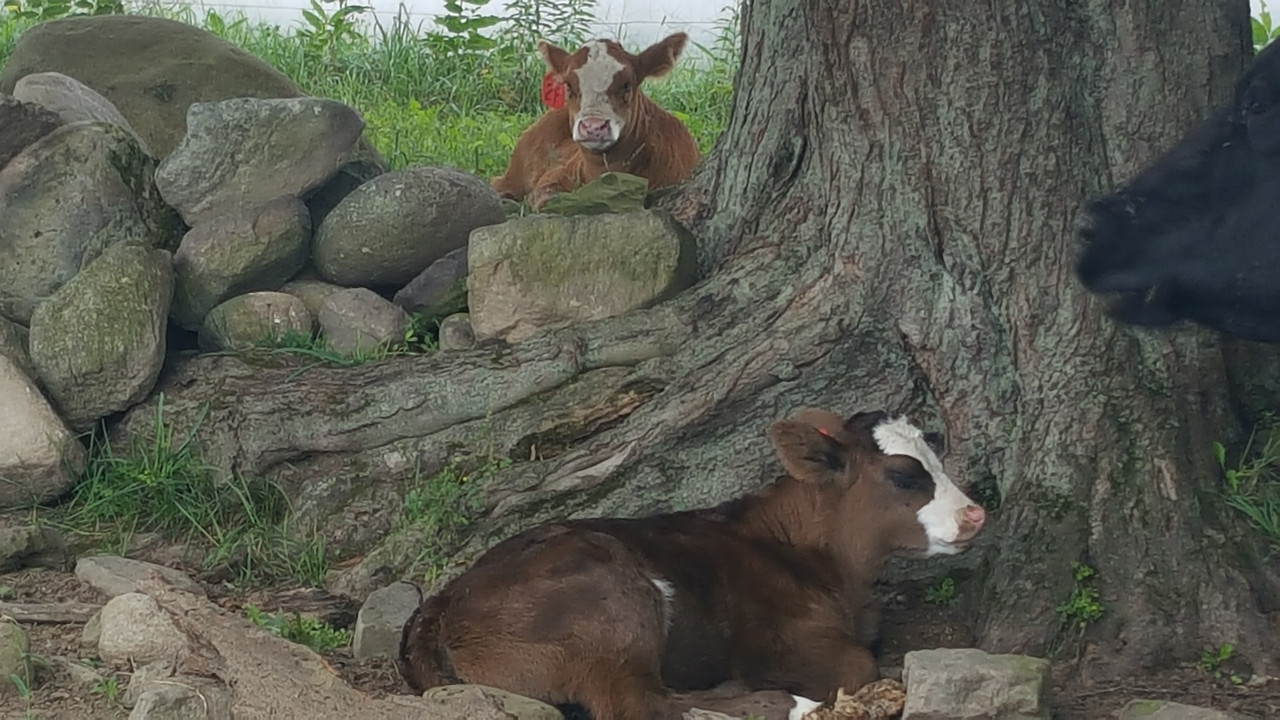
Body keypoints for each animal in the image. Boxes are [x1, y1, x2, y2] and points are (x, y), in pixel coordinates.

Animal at [397, 408, 987, 720]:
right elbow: (859, 666)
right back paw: (777, 699)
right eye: (904, 476)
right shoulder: (785, 642)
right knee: (636, 703)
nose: (976, 514)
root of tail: (442, 602)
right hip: (613, 601)